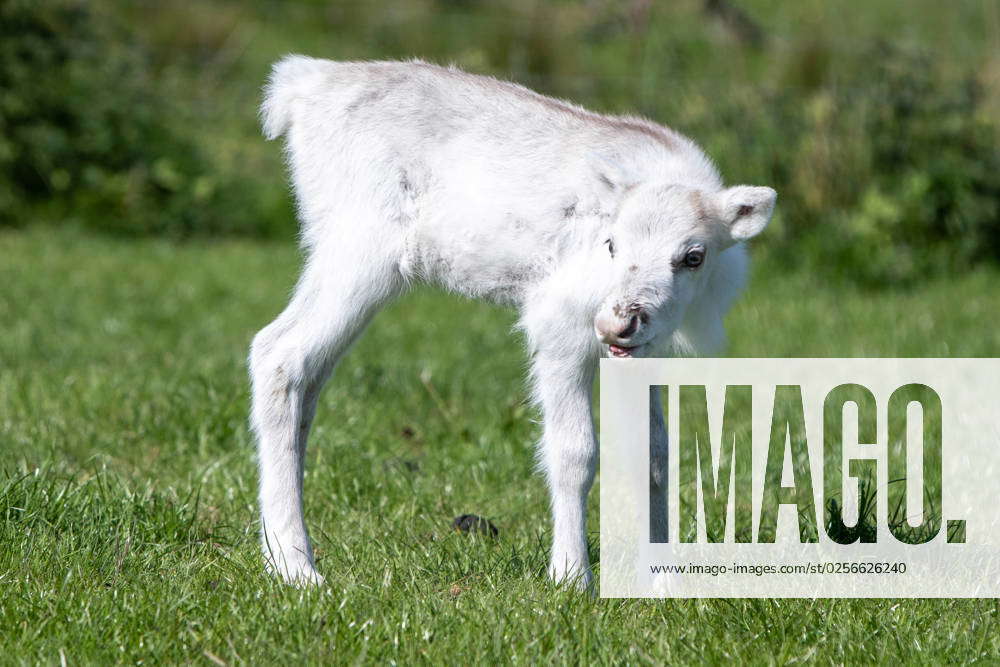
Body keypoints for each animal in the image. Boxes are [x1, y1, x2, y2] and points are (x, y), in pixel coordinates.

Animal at [248, 58, 772, 588]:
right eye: (611, 243)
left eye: (693, 256)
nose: (617, 323)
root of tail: (302, 85)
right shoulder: (560, 326)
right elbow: (575, 452)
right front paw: (570, 575)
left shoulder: (645, 354)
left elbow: (656, 454)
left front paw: (663, 580)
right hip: (360, 247)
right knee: (278, 352)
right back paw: (297, 567)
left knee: (310, 378)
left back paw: (279, 553)